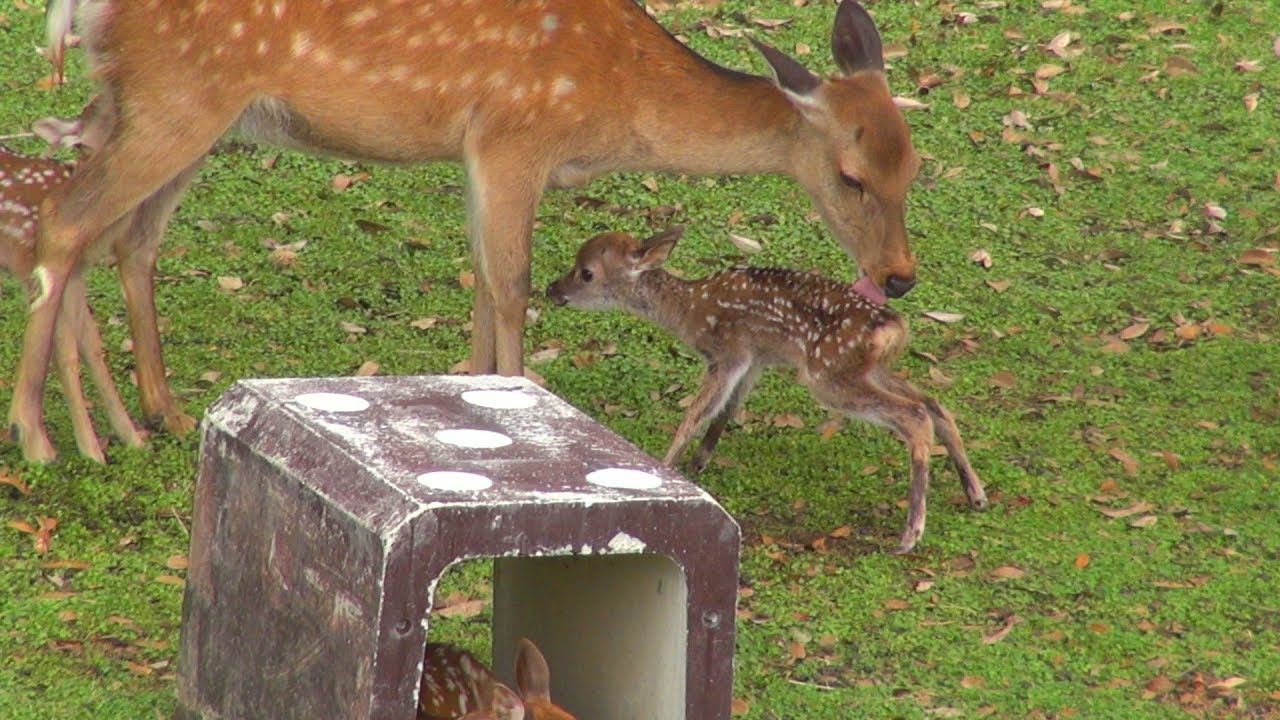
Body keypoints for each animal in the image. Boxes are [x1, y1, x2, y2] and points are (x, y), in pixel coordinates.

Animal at [0, 146, 146, 462]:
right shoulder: (33, 263)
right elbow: (63, 351)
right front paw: (89, 452)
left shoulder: (75, 275)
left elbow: (91, 344)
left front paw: (131, 437)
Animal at [546, 227, 988, 554]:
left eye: (586, 272)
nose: (552, 289)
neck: (688, 311)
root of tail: (892, 327)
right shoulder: (755, 358)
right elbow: (726, 410)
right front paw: (699, 463)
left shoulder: (729, 353)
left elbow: (697, 412)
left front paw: (665, 465)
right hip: (868, 369)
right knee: (932, 402)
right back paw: (975, 493)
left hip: (829, 375)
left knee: (914, 414)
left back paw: (910, 534)